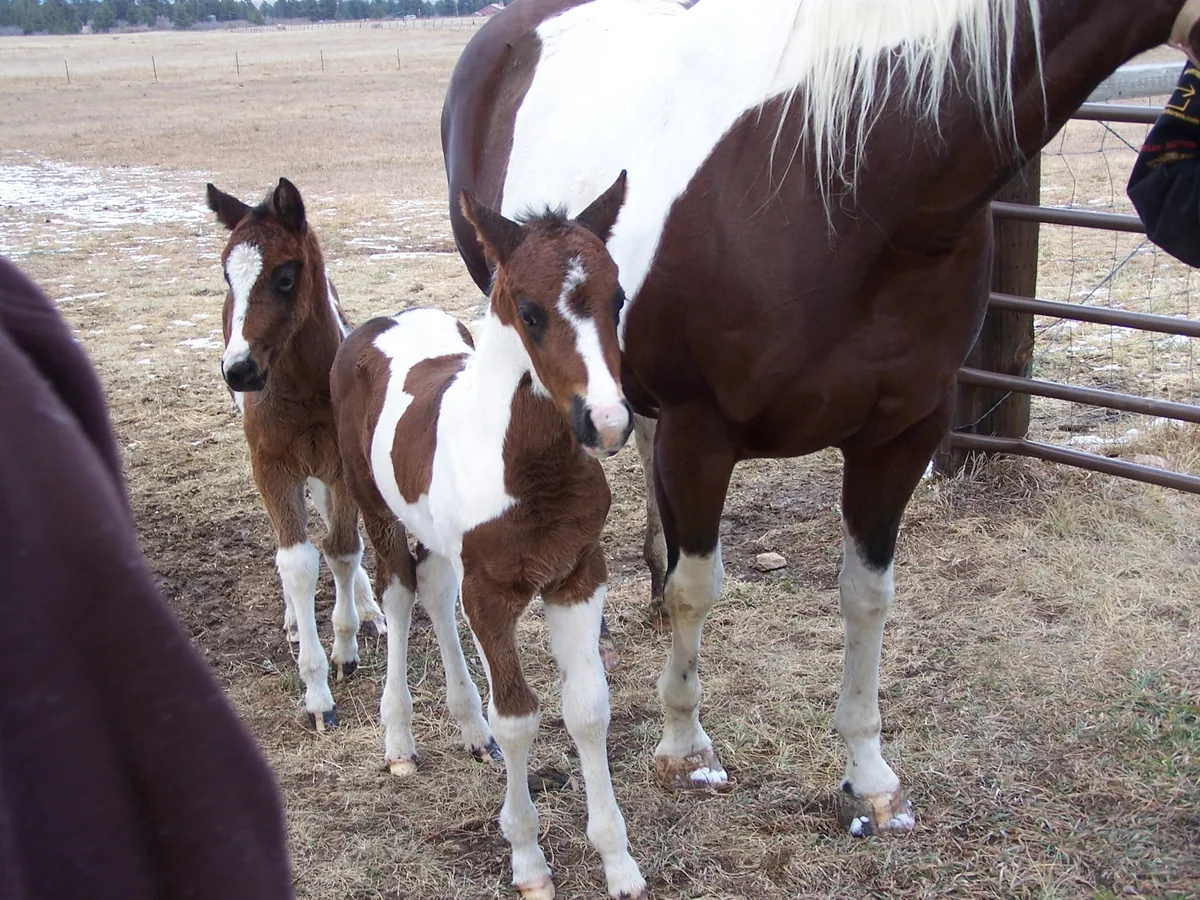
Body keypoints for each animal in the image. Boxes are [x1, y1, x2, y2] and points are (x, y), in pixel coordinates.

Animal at [205, 177, 392, 731]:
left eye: (285, 276)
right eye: (227, 273)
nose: (239, 370)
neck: (304, 388)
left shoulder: (339, 464)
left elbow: (343, 548)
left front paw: (346, 647)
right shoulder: (271, 467)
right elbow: (296, 562)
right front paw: (316, 693)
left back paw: (369, 610)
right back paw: (293, 619)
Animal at [330, 174, 645, 900]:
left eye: (617, 297)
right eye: (530, 311)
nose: (608, 422)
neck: (528, 466)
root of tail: (379, 322)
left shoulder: (577, 574)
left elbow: (588, 707)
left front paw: (618, 862)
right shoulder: (494, 592)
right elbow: (522, 715)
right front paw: (527, 858)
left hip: (444, 545)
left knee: (435, 593)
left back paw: (470, 729)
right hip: (377, 512)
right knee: (398, 595)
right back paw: (399, 741)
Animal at [441, 0, 1200, 836]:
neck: (838, 181)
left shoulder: (901, 435)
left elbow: (867, 595)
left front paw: (868, 778)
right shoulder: (701, 434)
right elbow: (698, 588)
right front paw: (685, 747)